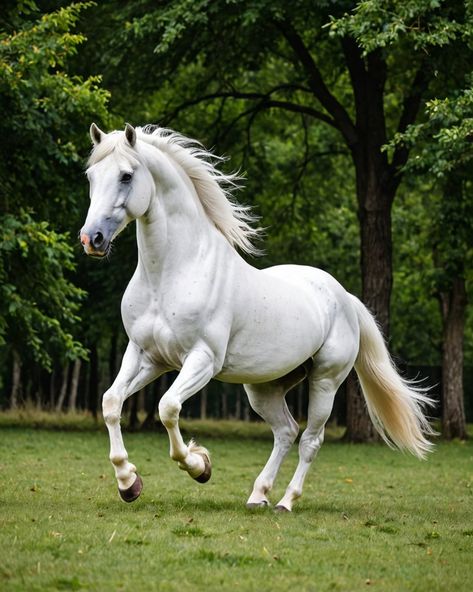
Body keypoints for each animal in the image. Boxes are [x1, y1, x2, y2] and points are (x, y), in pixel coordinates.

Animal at [79, 122, 434, 512]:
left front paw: (200, 466)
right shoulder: (146, 355)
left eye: (126, 176)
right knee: (286, 431)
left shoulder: (202, 360)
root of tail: (345, 297)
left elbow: (168, 408)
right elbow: (111, 403)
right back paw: (258, 495)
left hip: (325, 380)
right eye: (91, 176)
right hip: (264, 388)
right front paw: (129, 482)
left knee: (310, 440)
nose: (92, 239)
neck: (172, 273)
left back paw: (286, 501)